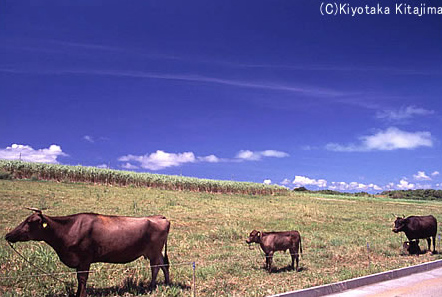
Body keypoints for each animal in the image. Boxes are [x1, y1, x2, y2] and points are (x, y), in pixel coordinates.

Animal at [5, 208, 171, 296]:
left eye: (30, 222)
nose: (7, 235)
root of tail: (160, 217)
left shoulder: (85, 259)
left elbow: (83, 278)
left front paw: (82, 294)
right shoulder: (79, 261)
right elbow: (79, 278)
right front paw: (77, 293)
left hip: (154, 251)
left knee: (155, 268)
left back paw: (151, 287)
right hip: (156, 252)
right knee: (164, 266)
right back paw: (167, 283)